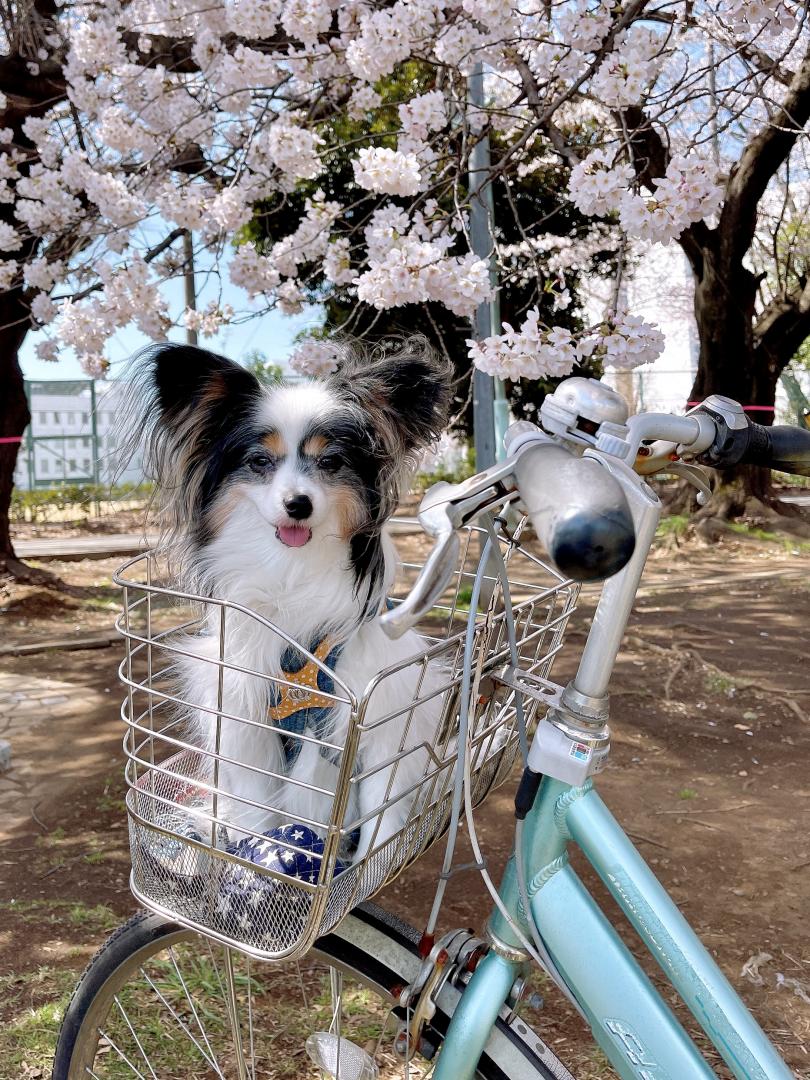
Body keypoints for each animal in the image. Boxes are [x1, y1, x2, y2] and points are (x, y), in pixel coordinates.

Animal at [130, 341, 453, 864]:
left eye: (331, 463)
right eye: (260, 462)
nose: (298, 505)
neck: (291, 570)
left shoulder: (384, 716)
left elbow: (381, 814)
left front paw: (365, 867)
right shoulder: (242, 717)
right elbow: (258, 810)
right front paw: (256, 862)